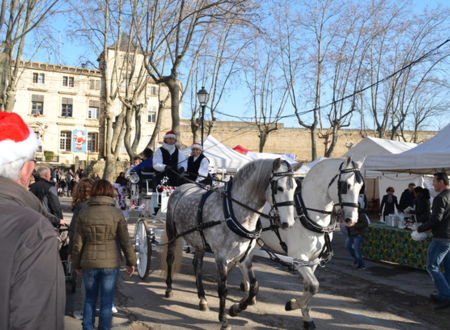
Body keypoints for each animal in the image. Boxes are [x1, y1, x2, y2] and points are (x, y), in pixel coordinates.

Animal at [163, 159, 300, 328]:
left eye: (295, 187)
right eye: (279, 188)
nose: (288, 223)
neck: (233, 212)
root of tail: (182, 187)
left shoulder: (245, 257)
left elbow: (254, 286)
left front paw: (236, 308)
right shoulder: (221, 257)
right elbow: (223, 288)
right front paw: (223, 318)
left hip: (199, 242)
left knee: (197, 265)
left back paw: (202, 298)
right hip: (172, 233)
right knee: (170, 258)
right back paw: (169, 288)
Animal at [256, 159, 362, 328]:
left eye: (361, 186)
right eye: (345, 185)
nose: (352, 219)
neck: (307, 214)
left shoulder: (313, 259)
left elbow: (309, 286)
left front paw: (305, 316)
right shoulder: (299, 257)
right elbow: (313, 286)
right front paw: (293, 304)